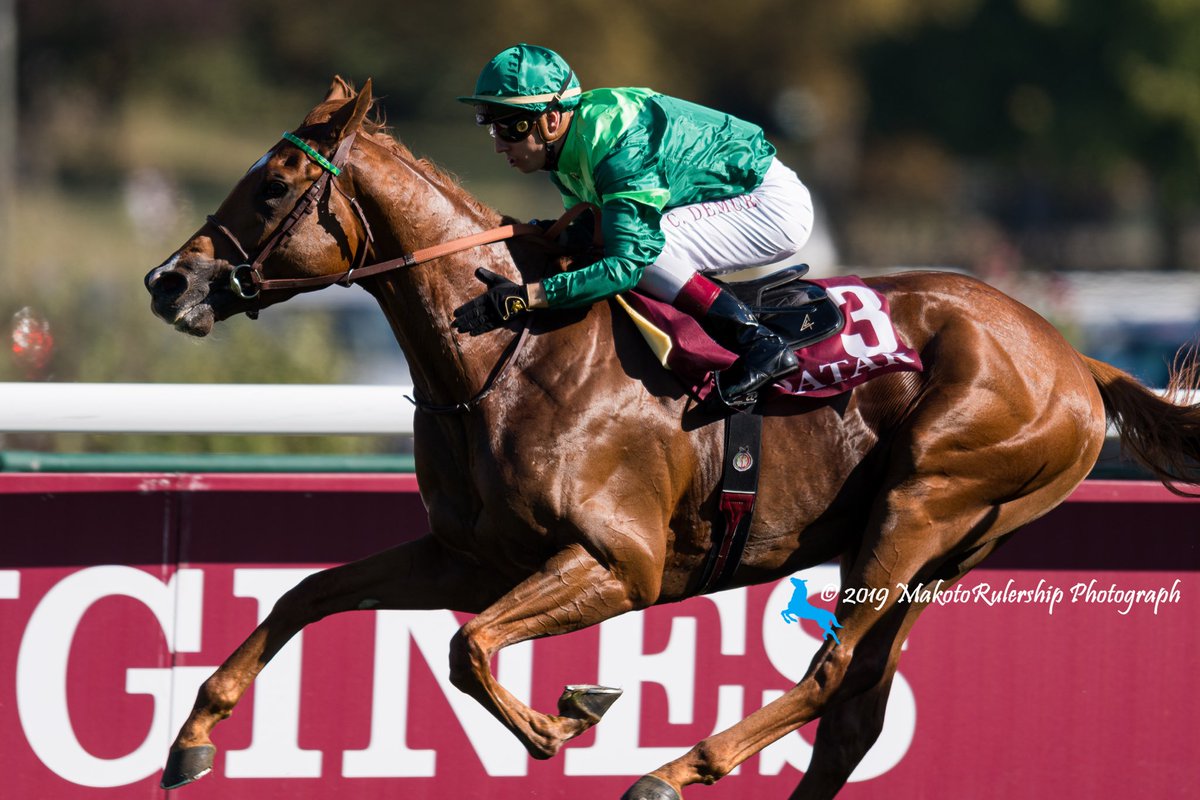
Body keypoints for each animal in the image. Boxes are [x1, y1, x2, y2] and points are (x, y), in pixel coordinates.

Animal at [143, 77, 1200, 800]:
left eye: (274, 185)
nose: (167, 281)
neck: (503, 357)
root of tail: (1074, 358)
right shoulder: (473, 556)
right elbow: (312, 592)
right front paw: (192, 736)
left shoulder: (621, 561)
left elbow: (469, 650)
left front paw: (564, 720)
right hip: (946, 550)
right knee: (856, 706)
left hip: (923, 503)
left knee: (830, 671)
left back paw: (676, 767)